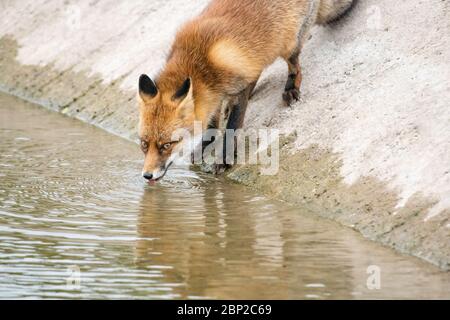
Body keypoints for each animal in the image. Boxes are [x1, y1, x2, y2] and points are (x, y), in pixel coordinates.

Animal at [137, 0, 356, 182]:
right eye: (144, 144)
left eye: (167, 145)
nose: (147, 175)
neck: (200, 62)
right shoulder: (214, 96)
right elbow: (212, 124)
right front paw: (204, 147)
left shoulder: (238, 86)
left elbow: (232, 127)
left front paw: (224, 159)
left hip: (288, 44)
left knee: (295, 66)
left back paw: (291, 87)